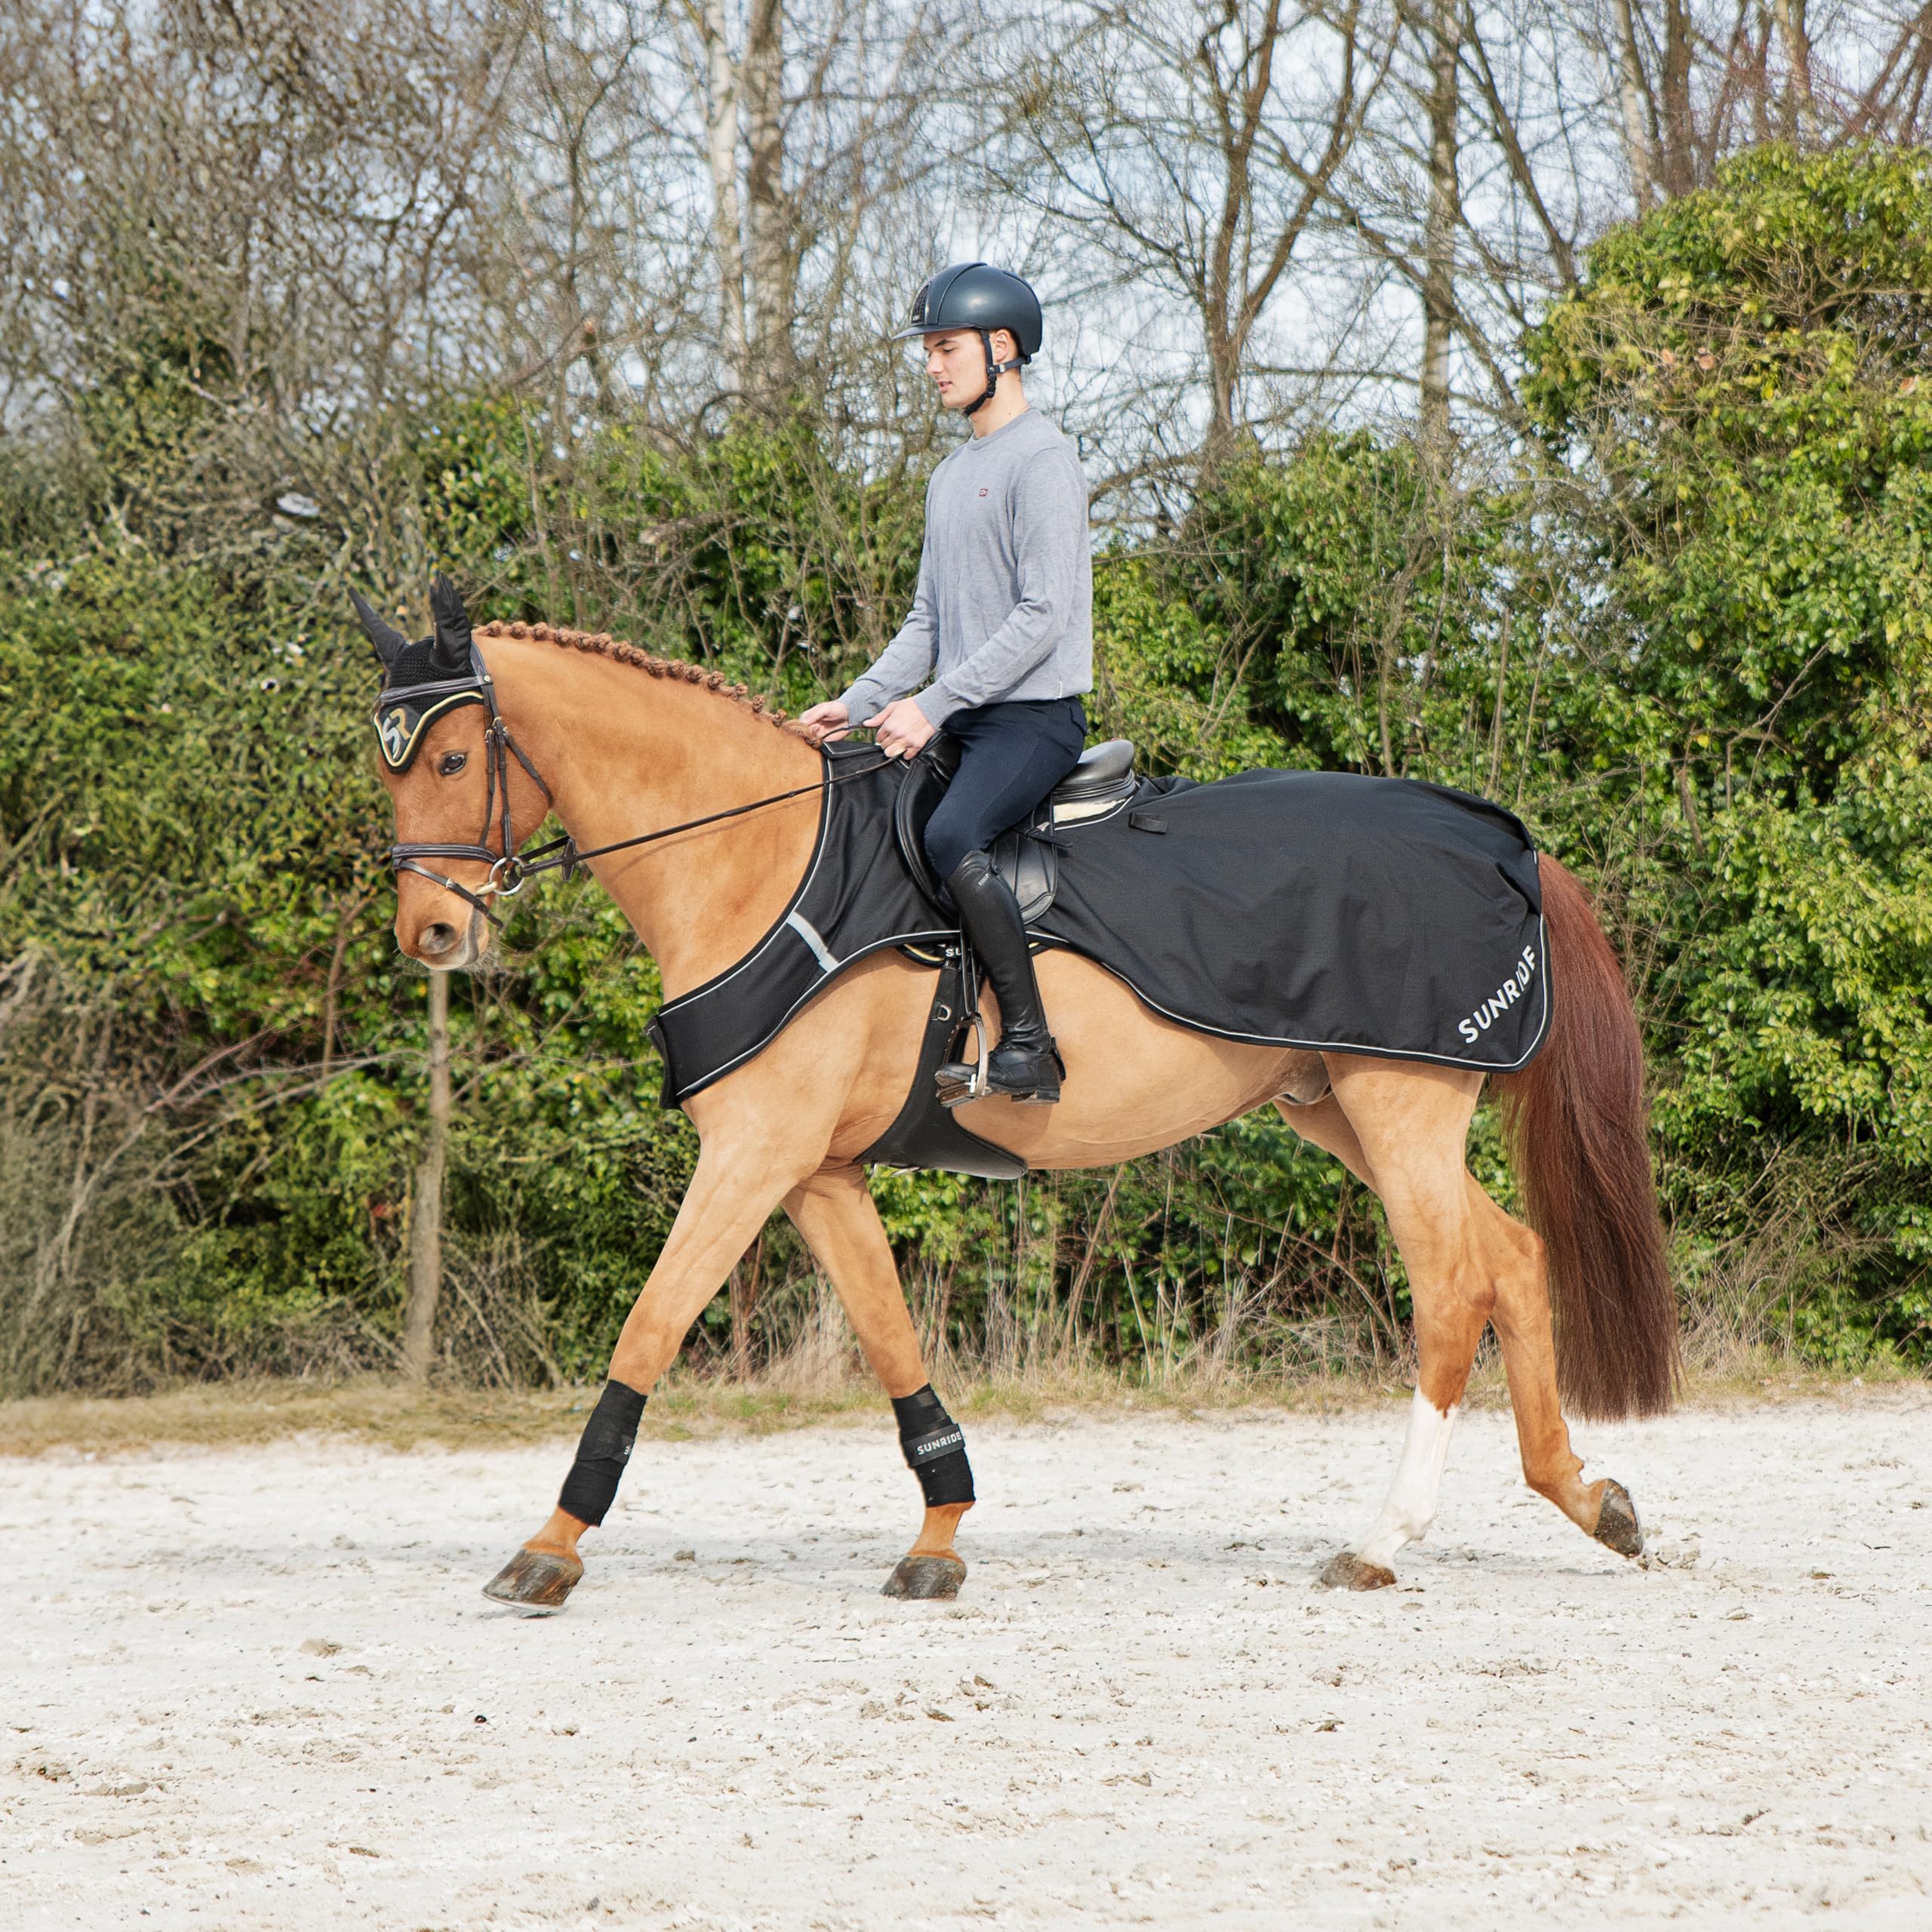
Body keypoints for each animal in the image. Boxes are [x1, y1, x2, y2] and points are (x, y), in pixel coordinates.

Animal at [356, 585, 1677, 1611]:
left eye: (456, 758)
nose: (430, 935)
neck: (764, 862)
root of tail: (1506, 843)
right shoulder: (817, 1173)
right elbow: (890, 1337)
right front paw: (939, 1537)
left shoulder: (752, 1154)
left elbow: (650, 1324)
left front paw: (548, 1548)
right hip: (1337, 1106)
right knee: (1512, 1256)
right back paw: (1587, 1498)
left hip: (1398, 1106)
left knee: (1454, 1287)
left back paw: (1381, 1543)